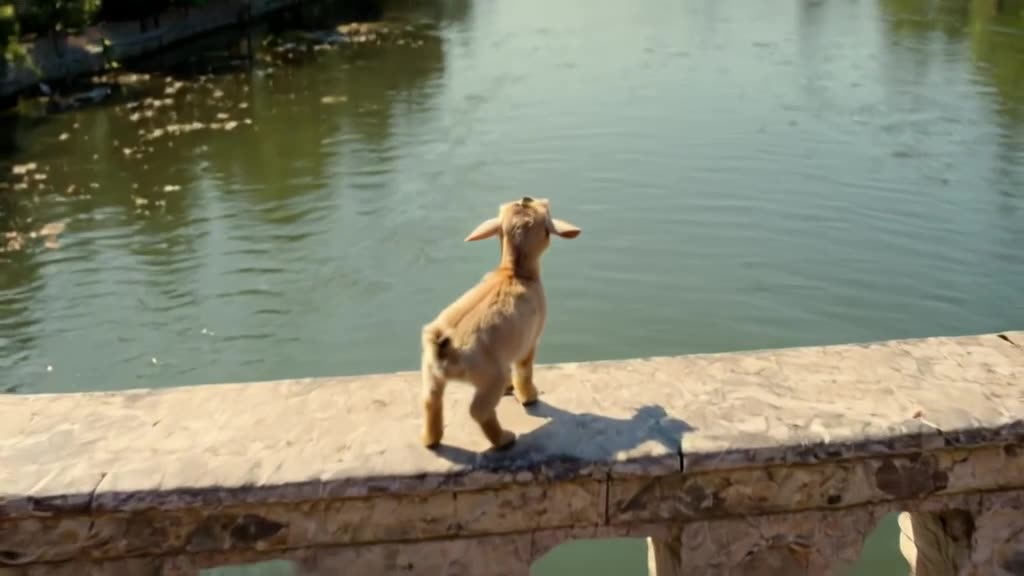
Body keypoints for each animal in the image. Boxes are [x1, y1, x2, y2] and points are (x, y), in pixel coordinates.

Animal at [420, 197, 581, 451]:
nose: (526, 198)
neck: (514, 272)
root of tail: (444, 346)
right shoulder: (529, 342)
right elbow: (524, 372)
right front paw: (529, 396)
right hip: (491, 377)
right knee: (478, 411)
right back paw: (503, 438)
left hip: (430, 375)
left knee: (430, 402)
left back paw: (429, 439)